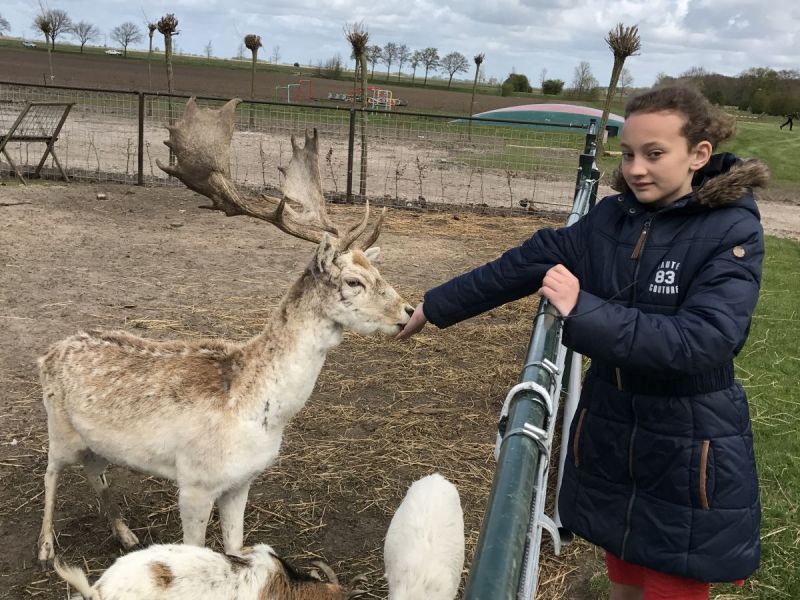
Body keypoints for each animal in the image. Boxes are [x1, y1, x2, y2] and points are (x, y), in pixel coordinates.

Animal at [36, 97, 412, 568]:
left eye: (378, 272)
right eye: (354, 281)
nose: (408, 310)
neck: (259, 411)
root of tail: (47, 353)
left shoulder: (241, 480)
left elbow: (235, 546)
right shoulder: (196, 481)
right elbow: (196, 549)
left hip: (95, 442)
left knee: (94, 470)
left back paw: (125, 534)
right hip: (58, 428)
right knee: (50, 471)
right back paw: (46, 548)